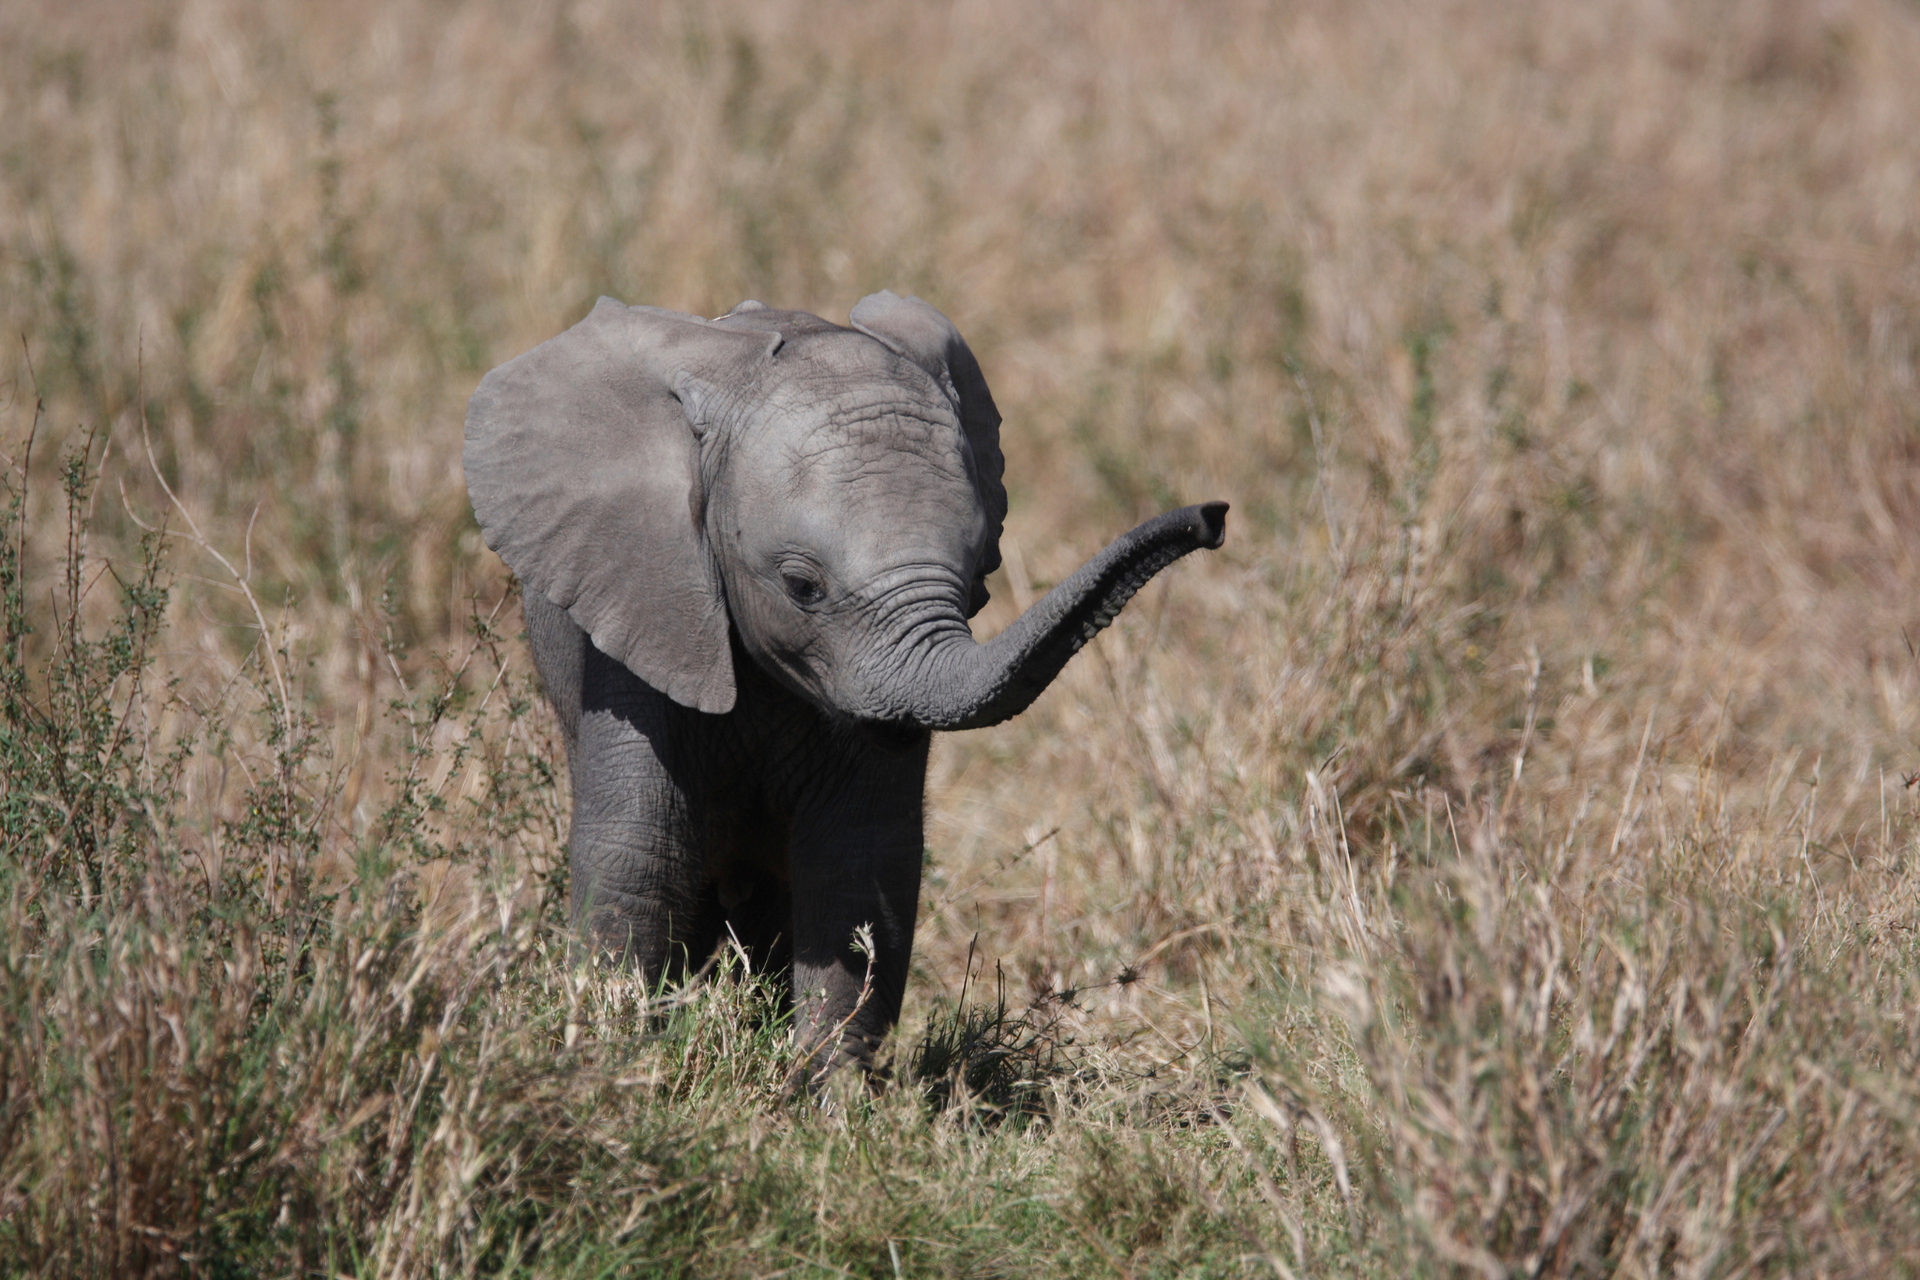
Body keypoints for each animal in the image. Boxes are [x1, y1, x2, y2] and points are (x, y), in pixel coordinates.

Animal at [463, 291, 1226, 1071]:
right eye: (802, 587)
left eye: (977, 578)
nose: (1213, 515)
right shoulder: (643, 603)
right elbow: (641, 849)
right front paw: (616, 1066)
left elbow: (860, 864)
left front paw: (829, 1095)